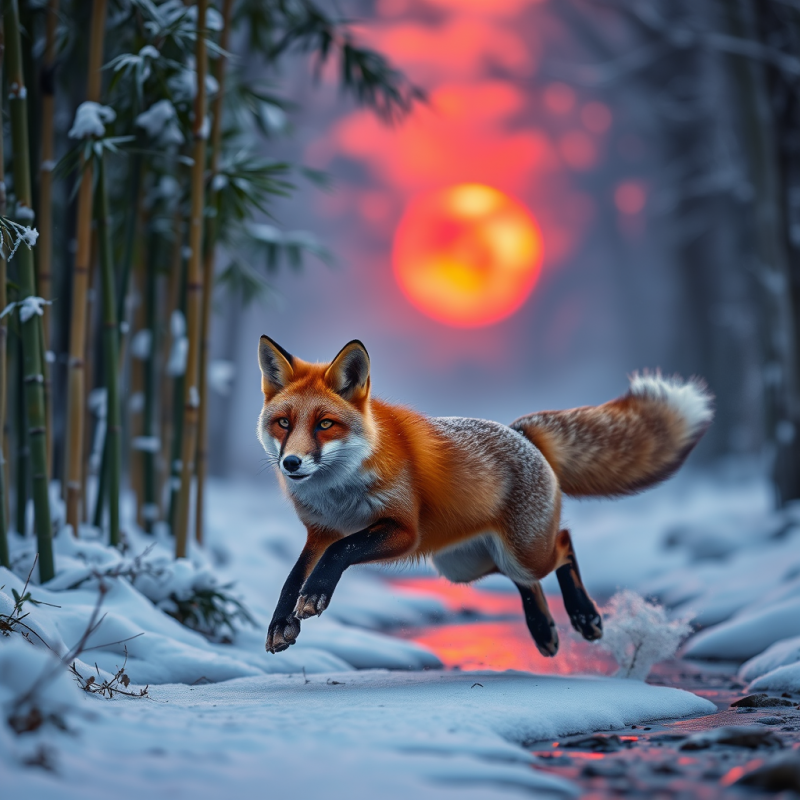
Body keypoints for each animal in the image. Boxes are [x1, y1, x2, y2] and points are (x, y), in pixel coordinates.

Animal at [257, 336, 713, 657]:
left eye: (325, 424)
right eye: (283, 423)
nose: (292, 463)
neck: (339, 492)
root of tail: (521, 433)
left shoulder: (403, 531)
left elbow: (341, 554)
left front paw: (314, 596)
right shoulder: (321, 532)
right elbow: (293, 576)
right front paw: (281, 623)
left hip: (519, 552)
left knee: (564, 545)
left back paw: (584, 616)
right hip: (465, 565)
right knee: (526, 582)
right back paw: (543, 630)